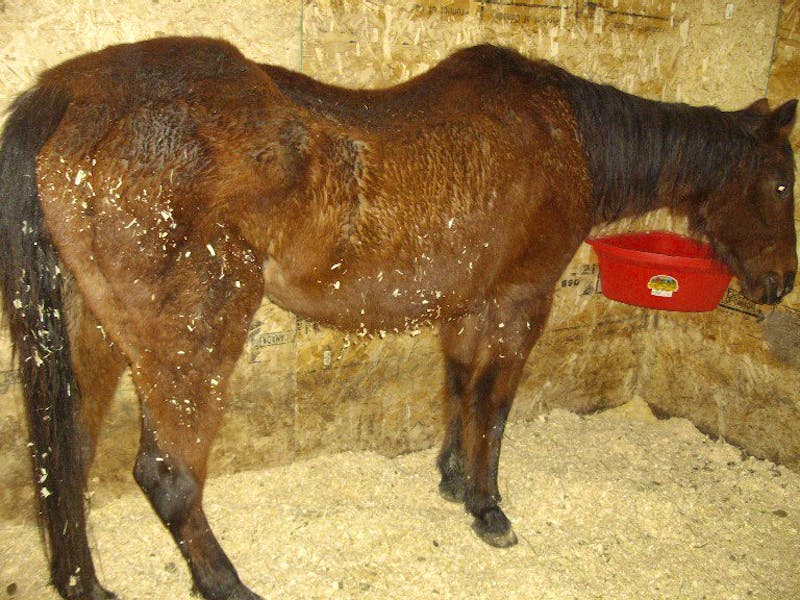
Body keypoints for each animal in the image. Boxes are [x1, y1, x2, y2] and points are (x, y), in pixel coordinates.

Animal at [0, 36, 795, 600]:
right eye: (785, 181)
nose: (780, 283)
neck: (567, 137)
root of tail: (70, 92)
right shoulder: (522, 300)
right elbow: (494, 405)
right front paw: (488, 508)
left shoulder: (470, 302)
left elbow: (460, 388)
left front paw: (452, 480)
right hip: (192, 346)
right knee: (167, 477)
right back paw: (227, 584)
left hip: (93, 338)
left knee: (64, 459)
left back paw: (86, 585)